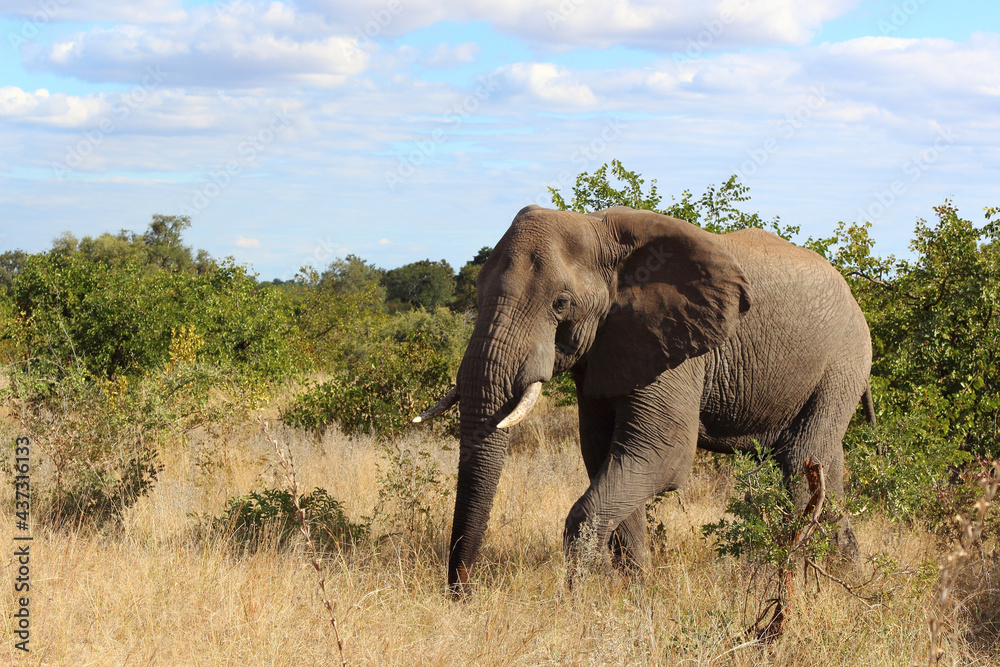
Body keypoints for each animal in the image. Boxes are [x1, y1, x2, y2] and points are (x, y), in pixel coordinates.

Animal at [414, 204, 875, 594]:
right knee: (825, 464)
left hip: (843, 360)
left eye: (561, 303)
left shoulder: (678, 348)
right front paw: (635, 591)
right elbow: (606, 453)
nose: (462, 595)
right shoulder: (608, 348)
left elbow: (661, 454)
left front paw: (579, 601)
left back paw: (794, 578)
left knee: (800, 460)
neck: (599, 230)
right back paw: (849, 573)